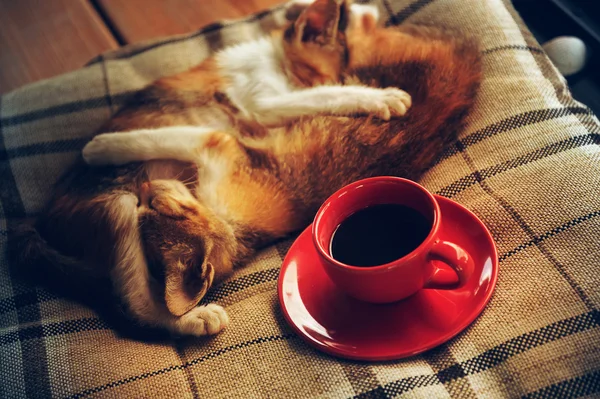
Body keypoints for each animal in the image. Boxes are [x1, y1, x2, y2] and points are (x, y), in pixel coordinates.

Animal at [15, 0, 482, 338]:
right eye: (333, 69)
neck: (275, 61)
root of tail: (40, 227)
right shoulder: (262, 101)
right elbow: (316, 96)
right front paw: (381, 97)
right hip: (114, 207)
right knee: (131, 304)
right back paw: (191, 317)